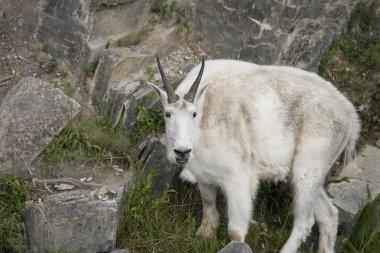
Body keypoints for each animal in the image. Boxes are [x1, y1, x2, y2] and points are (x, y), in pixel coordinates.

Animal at [148, 57, 360, 253]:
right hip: (309, 171)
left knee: (305, 222)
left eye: (194, 114)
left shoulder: (238, 177)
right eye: (167, 114)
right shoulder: (203, 174)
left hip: (310, 163)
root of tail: (350, 115)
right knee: (329, 214)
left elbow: (235, 231)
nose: (182, 151)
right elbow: (207, 203)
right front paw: (205, 234)